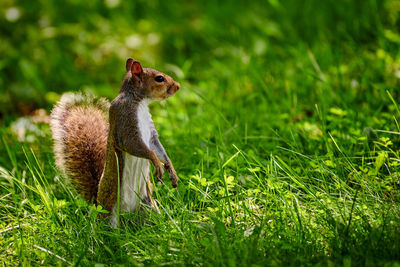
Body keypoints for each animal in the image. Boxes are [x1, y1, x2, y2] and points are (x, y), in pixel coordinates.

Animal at [50, 57, 180, 225]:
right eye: (159, 78)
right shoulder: (125, 126)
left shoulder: (151, 136)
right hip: (111, 210)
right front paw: (156, 163)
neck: (139, 102)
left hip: (147, 204)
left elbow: (157, 148)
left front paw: (171, 170)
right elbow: (136, 146)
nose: (177, 86)